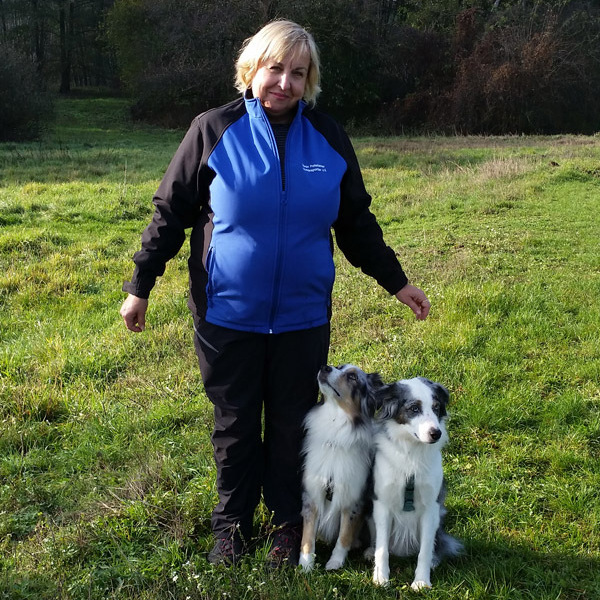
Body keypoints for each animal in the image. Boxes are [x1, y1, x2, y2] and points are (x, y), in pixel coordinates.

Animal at [299, 364, 383, 572]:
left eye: (353, 377)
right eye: (338, 367)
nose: (324, 367)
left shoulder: (352, 499)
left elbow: (344, 536)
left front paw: (335, 563)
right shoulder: (312, 493)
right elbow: (308, 535)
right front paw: (305, 565)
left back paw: (369, 551)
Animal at [369, 377, 462, 590]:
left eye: (436, 407)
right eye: (414, 408)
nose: (436, 433)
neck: (412, 452)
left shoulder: (431, 507)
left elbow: (425, 550)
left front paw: (421, 582)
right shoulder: (382, 504)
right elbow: (382, 547)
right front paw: (380, 577)